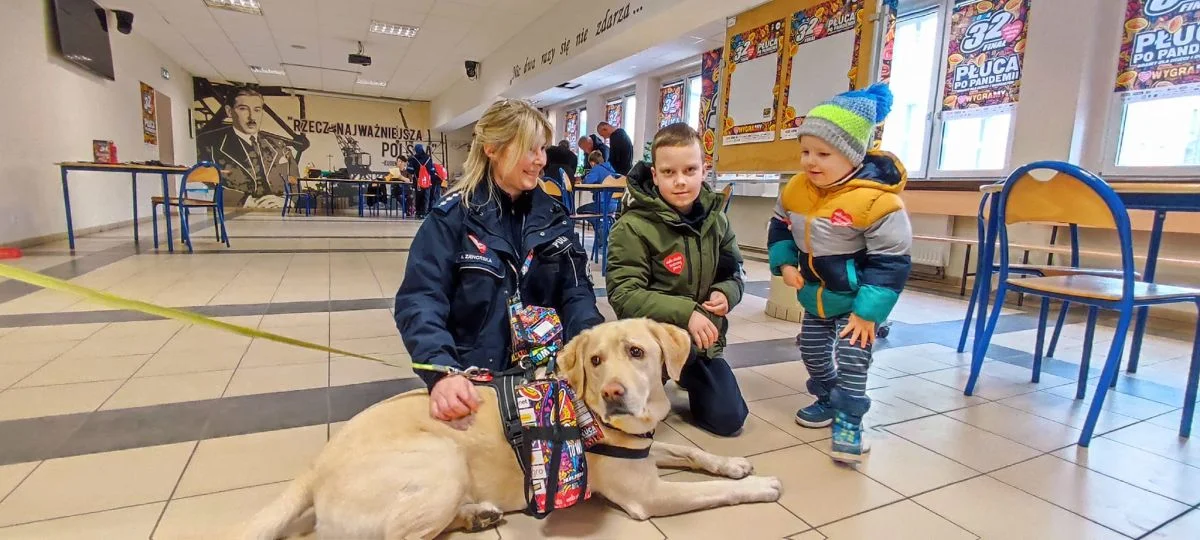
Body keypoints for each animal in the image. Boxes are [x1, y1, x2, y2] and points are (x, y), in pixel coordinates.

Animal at [235, 319, 782, 537]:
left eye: (636, 352)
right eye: (596, 361)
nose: (613, 394)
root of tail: (314, 466)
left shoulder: (645, 451)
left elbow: (693, 454)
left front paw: (734, 463)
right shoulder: (648, 494)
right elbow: (711, 493)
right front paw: (759, 485)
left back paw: (477, 515)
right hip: (441, 460)